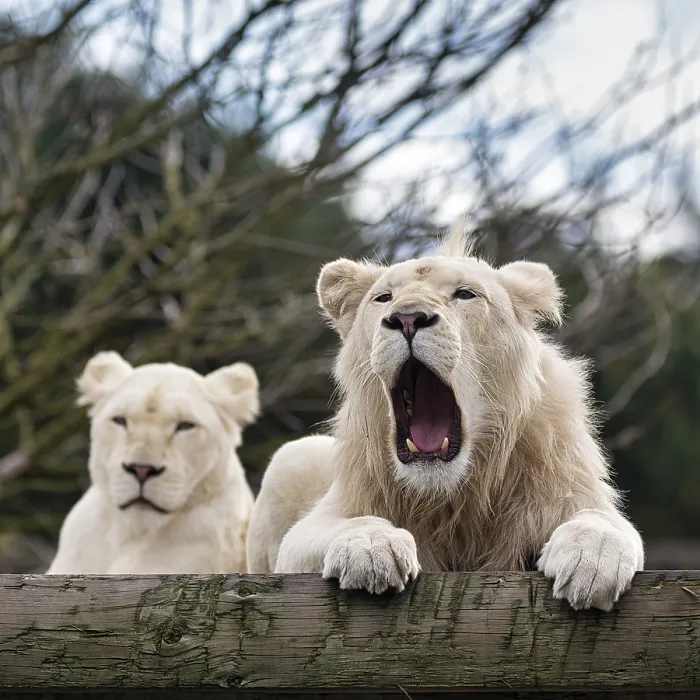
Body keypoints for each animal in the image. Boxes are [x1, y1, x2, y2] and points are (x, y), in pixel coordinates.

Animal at [247, 227, 644, 611]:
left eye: (465, 294)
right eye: (384, 298)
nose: (408, 318)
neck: (454, 497)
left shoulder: (571, 492)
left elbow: (601, 520)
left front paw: (591, 561)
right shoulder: (302, 541)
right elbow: (348, 524)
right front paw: (372, 548)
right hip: (292, 456)